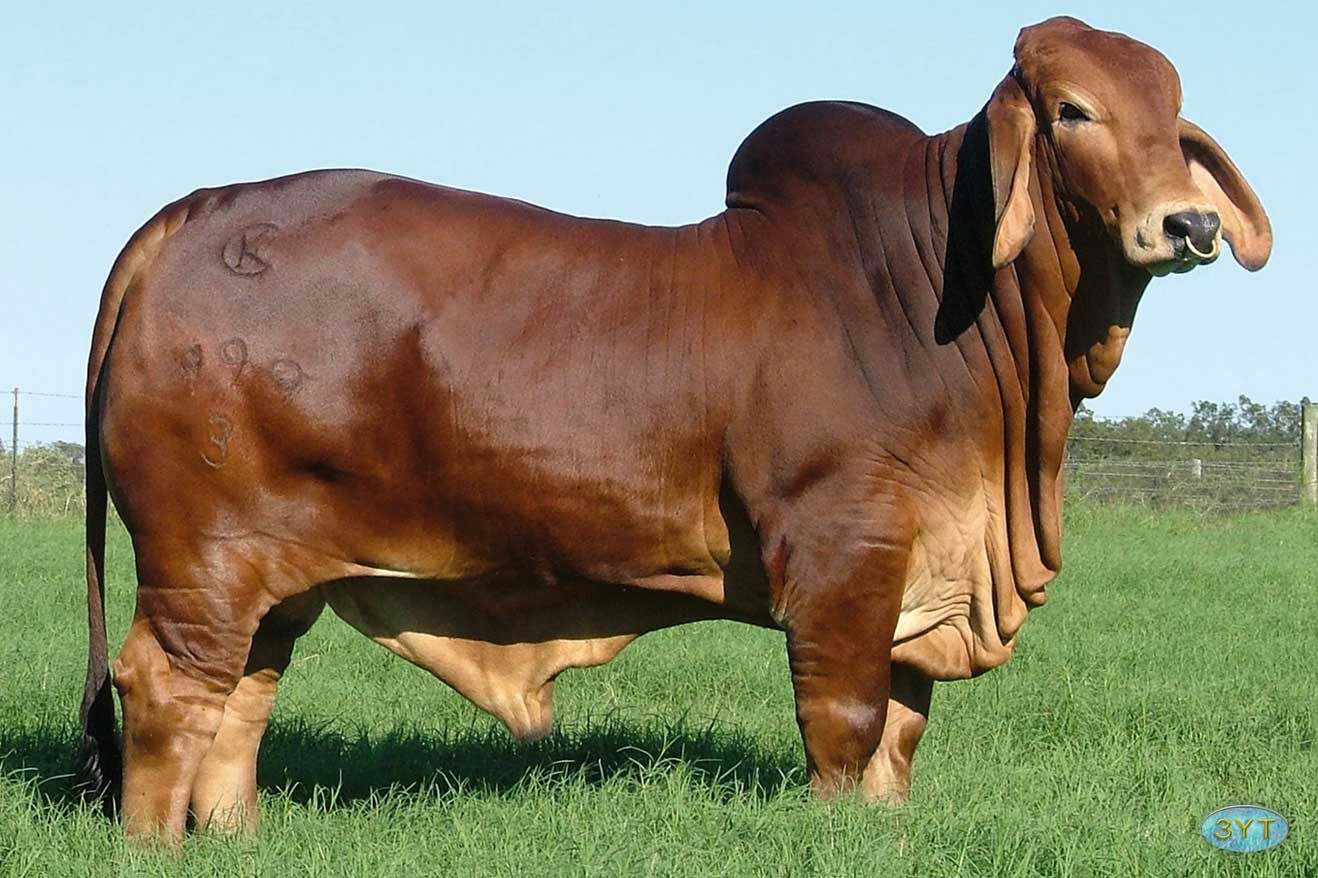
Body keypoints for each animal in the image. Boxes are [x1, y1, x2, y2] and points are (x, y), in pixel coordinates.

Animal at [76, 16, 1270, 839]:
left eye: (1172, 113)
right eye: (1072, 111)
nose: (1188, 223)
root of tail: (193, 212)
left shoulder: (925, 569)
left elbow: (902, 730)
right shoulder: (843, 553)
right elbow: (845, 723)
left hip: (276, 573)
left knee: (243, 696)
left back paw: (239, 837)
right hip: (198, 555)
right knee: (169, 690)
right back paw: (156, 847)